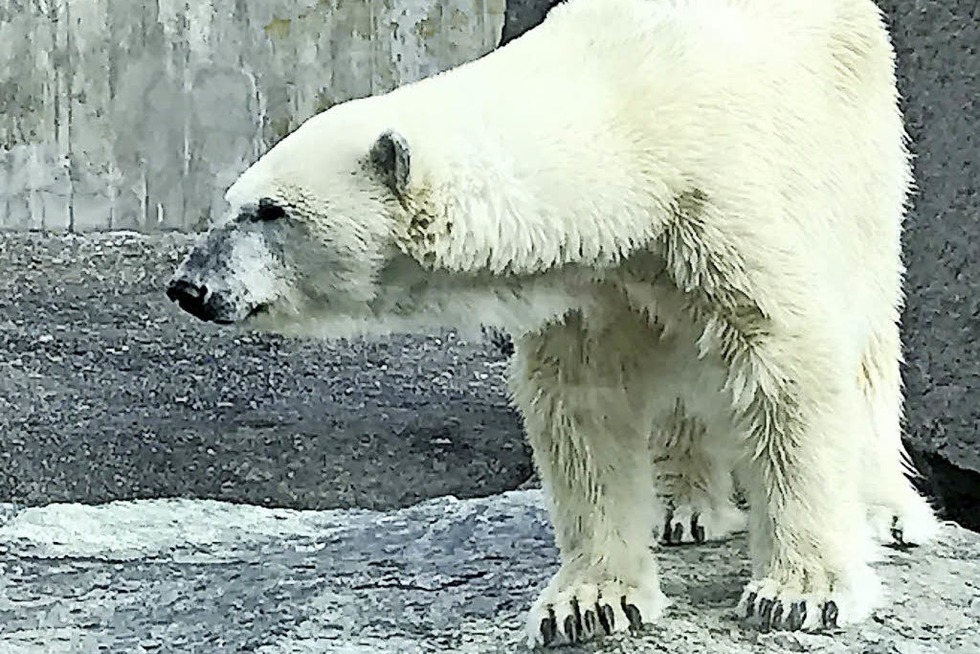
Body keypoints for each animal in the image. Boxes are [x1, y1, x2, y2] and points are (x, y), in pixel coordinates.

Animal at [168, 0, 940, 648]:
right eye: (233, 201)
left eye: (270, 211)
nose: (189, 285)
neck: (626, 135)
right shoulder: (591, 285)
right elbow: (582, 410)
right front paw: (592, 602)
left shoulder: (719, 206)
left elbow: (785, 367)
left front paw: (802, 591)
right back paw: (681, 505)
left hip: (861, 152)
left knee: (866, 331)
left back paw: (886, 510)